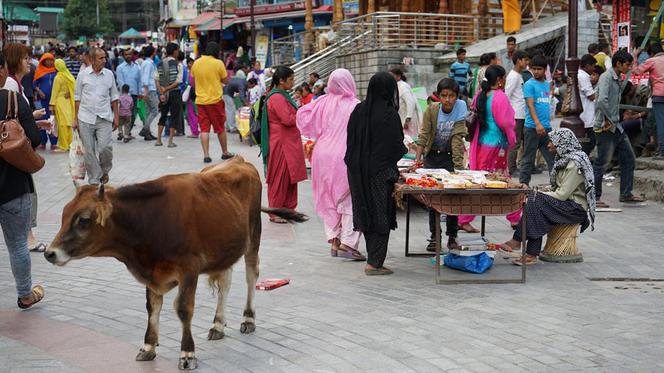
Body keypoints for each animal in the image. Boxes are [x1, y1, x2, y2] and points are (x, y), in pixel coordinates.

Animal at [44, 156, 306, 370]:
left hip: (253, 237)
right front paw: (148, 347)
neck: (150, 222)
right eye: (64, 214)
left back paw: (248, 318)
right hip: (225, 248)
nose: (50, 253)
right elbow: (152, 307)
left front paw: (187, 353)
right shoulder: (152, 273)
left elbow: (183, 309)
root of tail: (239, 160)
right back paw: (217, 325)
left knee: (252, 275)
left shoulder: (189, 269)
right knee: (225, 283)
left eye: (83, 220)